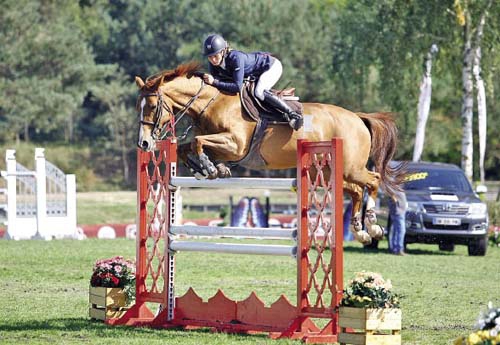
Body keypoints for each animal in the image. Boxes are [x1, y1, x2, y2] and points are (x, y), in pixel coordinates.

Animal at [134, 62, 406, 245]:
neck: (211, 102)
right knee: (357, 190)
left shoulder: (236, 145)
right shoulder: (221, 145)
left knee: (373, 181)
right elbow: (185, 147)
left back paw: (373, 226)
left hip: (351, 167)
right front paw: (210, 169)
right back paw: (360, 231)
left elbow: (198, 142)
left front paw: (209, 168)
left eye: (153, 106)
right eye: (140, 106)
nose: (144, 144)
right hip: (327, 173)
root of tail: (358, 118)